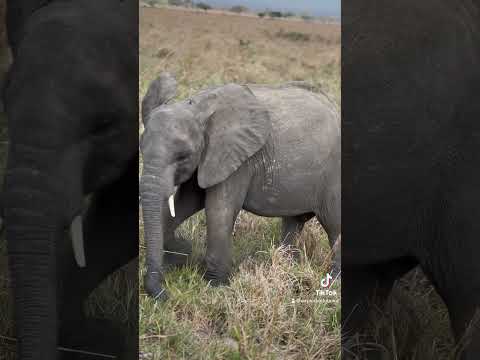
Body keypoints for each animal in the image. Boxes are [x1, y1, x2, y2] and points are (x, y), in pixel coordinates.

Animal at [140, 72, 342, 298]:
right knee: (293, 223)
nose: (165, 294)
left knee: (334, 224)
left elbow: (219, 210)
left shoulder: (238, 160)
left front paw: (214, 287)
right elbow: (184, 204)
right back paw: (288, 267)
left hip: (333, 175)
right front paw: (179, 254)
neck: (196, 107)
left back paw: (332, 281)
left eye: (183, 156)